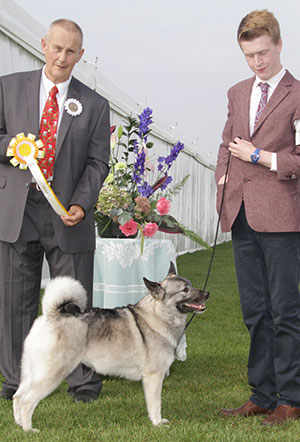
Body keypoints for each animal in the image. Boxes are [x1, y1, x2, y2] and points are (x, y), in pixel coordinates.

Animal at [12, 262, 209, 432]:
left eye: (191, 285)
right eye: (185, 290)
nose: (207, 293)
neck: (158, 315)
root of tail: (50, 316)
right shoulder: (154, 377)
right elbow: (155, 404)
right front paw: (157, 423)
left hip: (30, 372)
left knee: (17, 396)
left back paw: (19, 424)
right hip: (52, 373)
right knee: (27, 401)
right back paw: (29, 430)